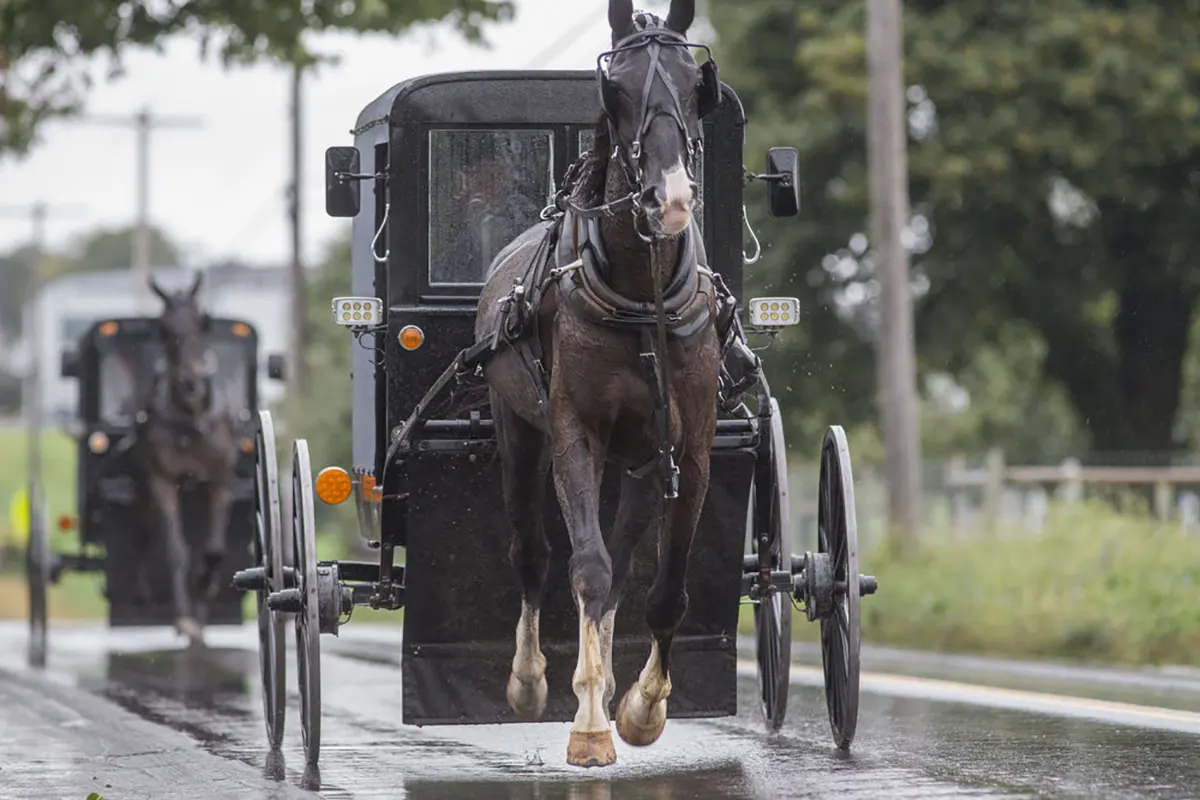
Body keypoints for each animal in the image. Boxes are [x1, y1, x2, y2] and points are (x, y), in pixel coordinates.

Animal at [132, 275, 242, 642]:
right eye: (164, 328)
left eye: (201, 322)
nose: (193, 384)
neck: (191, 421)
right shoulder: (162, 479)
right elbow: (176, 550)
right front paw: (184, 617)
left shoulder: (221, 479)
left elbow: (214, 549)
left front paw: (205, 590)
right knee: (147, 535)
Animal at [470, 3, 729, 772]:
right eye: (616, 90)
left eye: (697, 85)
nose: (670, 199)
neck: (641, 296)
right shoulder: (572, 435)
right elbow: (585, 567)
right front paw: (586, 723)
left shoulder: (689, 451)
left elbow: (663, 588)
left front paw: (643, 707)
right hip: (520, 438)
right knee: (533, 551)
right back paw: (532, 681)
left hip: (643, 466)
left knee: (624, 563)